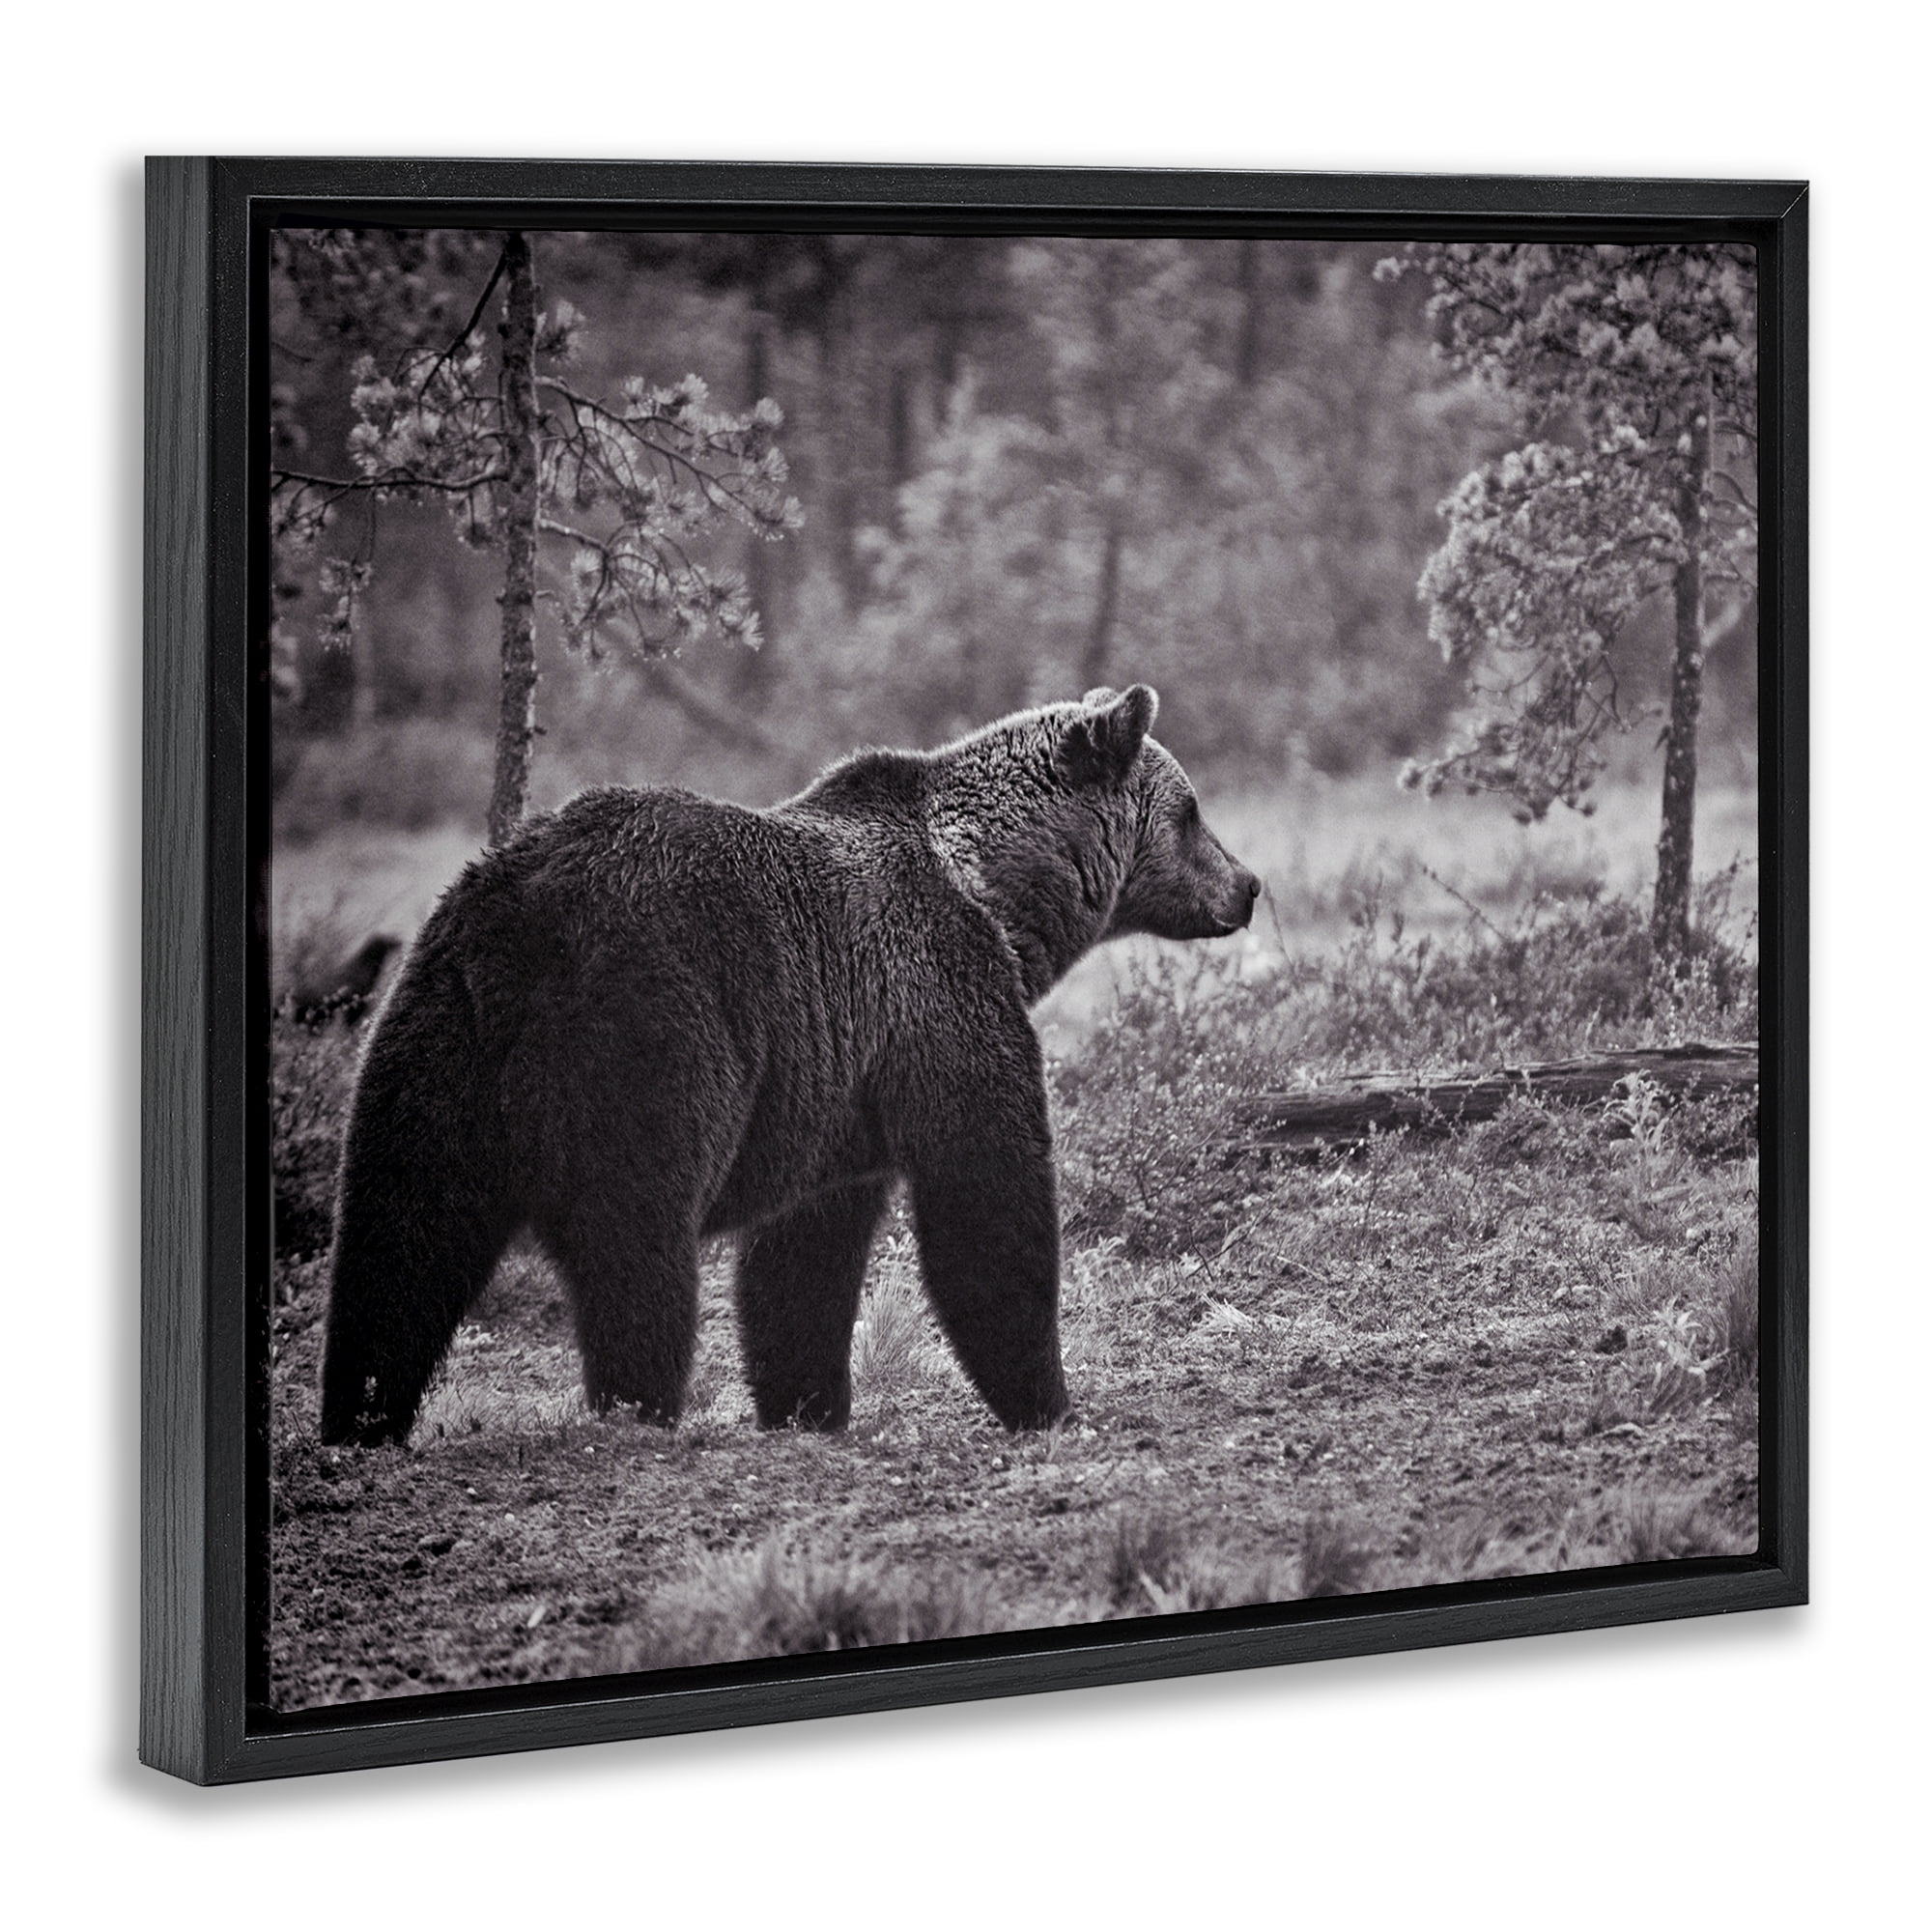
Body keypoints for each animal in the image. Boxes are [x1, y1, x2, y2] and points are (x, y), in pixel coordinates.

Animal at [318, 684, 1260, 1447]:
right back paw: (638, 1406)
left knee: (399, 1236)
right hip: (652, 1026)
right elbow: (986, 1191)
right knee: (635, 1238)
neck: (996, 895)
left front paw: (808, 1405)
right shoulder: (938, 995)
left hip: (436, 1035)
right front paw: (1050, 1402)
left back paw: (360, 1418)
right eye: (1191, 811)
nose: (1248, 884)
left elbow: (804, 1257)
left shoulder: (838, 1086)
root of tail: (526, 919)